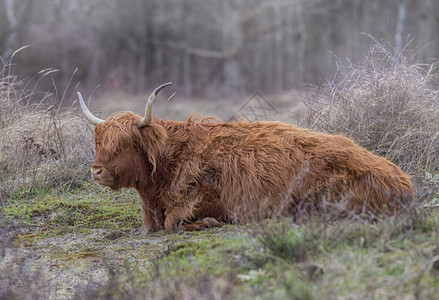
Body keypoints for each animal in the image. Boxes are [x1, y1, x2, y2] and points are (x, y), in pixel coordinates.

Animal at [79, 83, 416, 233]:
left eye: (124, 143)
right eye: (99, 142)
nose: (96, 171)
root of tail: (402, 180)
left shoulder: (210, 197)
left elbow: (175, 221)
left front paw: (208, 222)